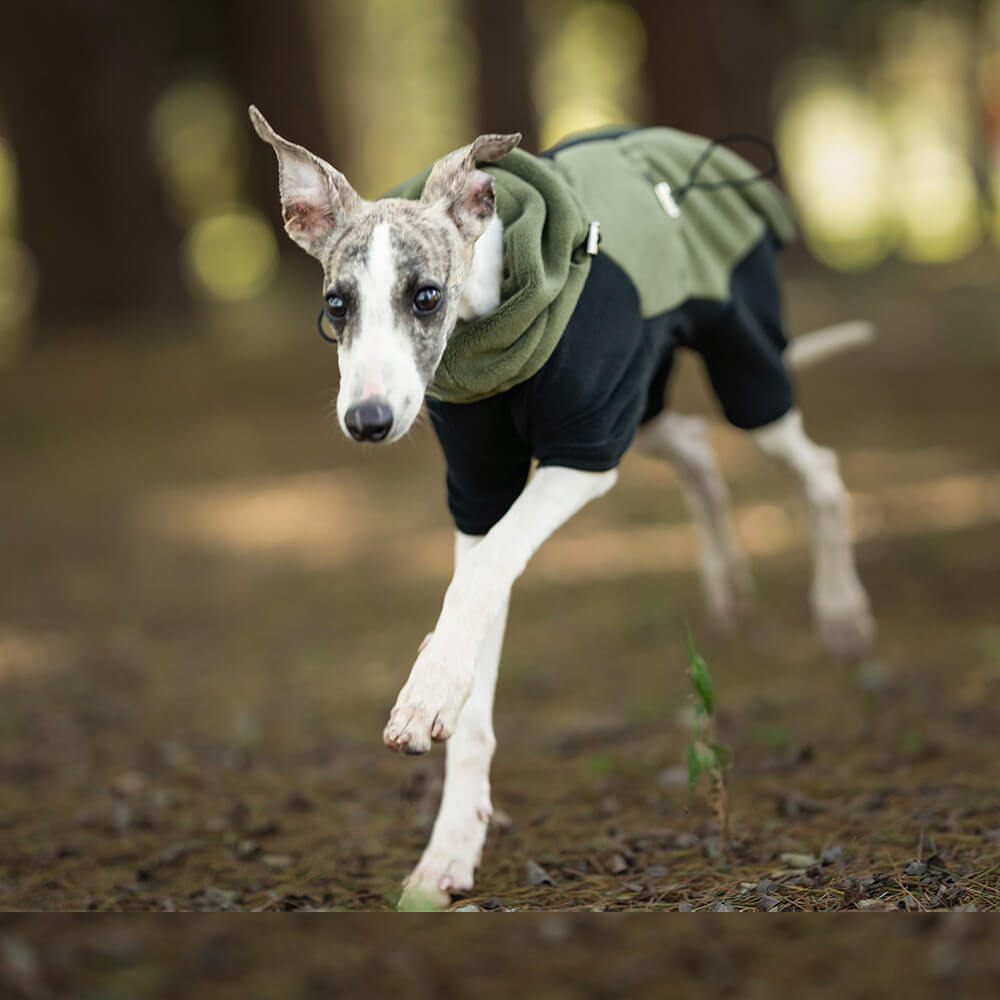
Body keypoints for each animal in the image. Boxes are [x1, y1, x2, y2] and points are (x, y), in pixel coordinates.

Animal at [250, 107, 876, 908]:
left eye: (426, 296)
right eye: (337, 305)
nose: (368, 421)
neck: (489, 327)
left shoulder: (582, 450)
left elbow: (480, 576)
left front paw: (427, 687)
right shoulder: (480, 485)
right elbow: (480, 603)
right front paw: (450, 845)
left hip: (741, 370)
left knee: (814, 468)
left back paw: (841, 610)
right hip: (646, 403)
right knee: (697, 448)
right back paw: (730, 583)